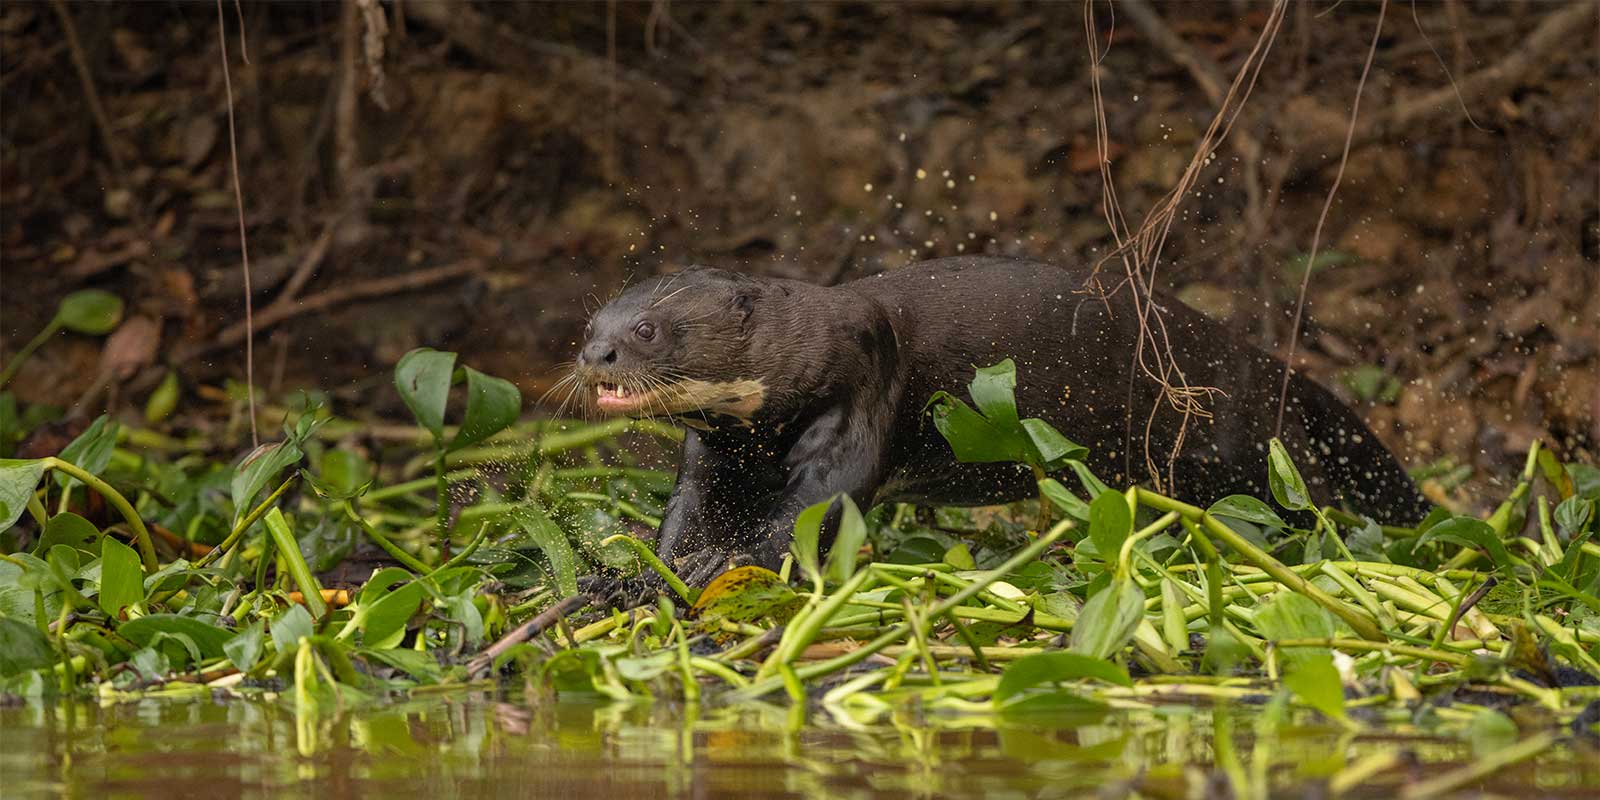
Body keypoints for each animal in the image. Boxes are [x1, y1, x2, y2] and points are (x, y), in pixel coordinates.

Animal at [573, 256, 1430, 588]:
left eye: (647, 329)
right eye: (592, 322)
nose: (594, 356)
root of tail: (1259, 360)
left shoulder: (864, 391)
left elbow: (816, 510)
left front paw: (720, 564)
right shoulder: (721, 447)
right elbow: (687, 508)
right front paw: (638, 572)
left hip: (1244, 445)